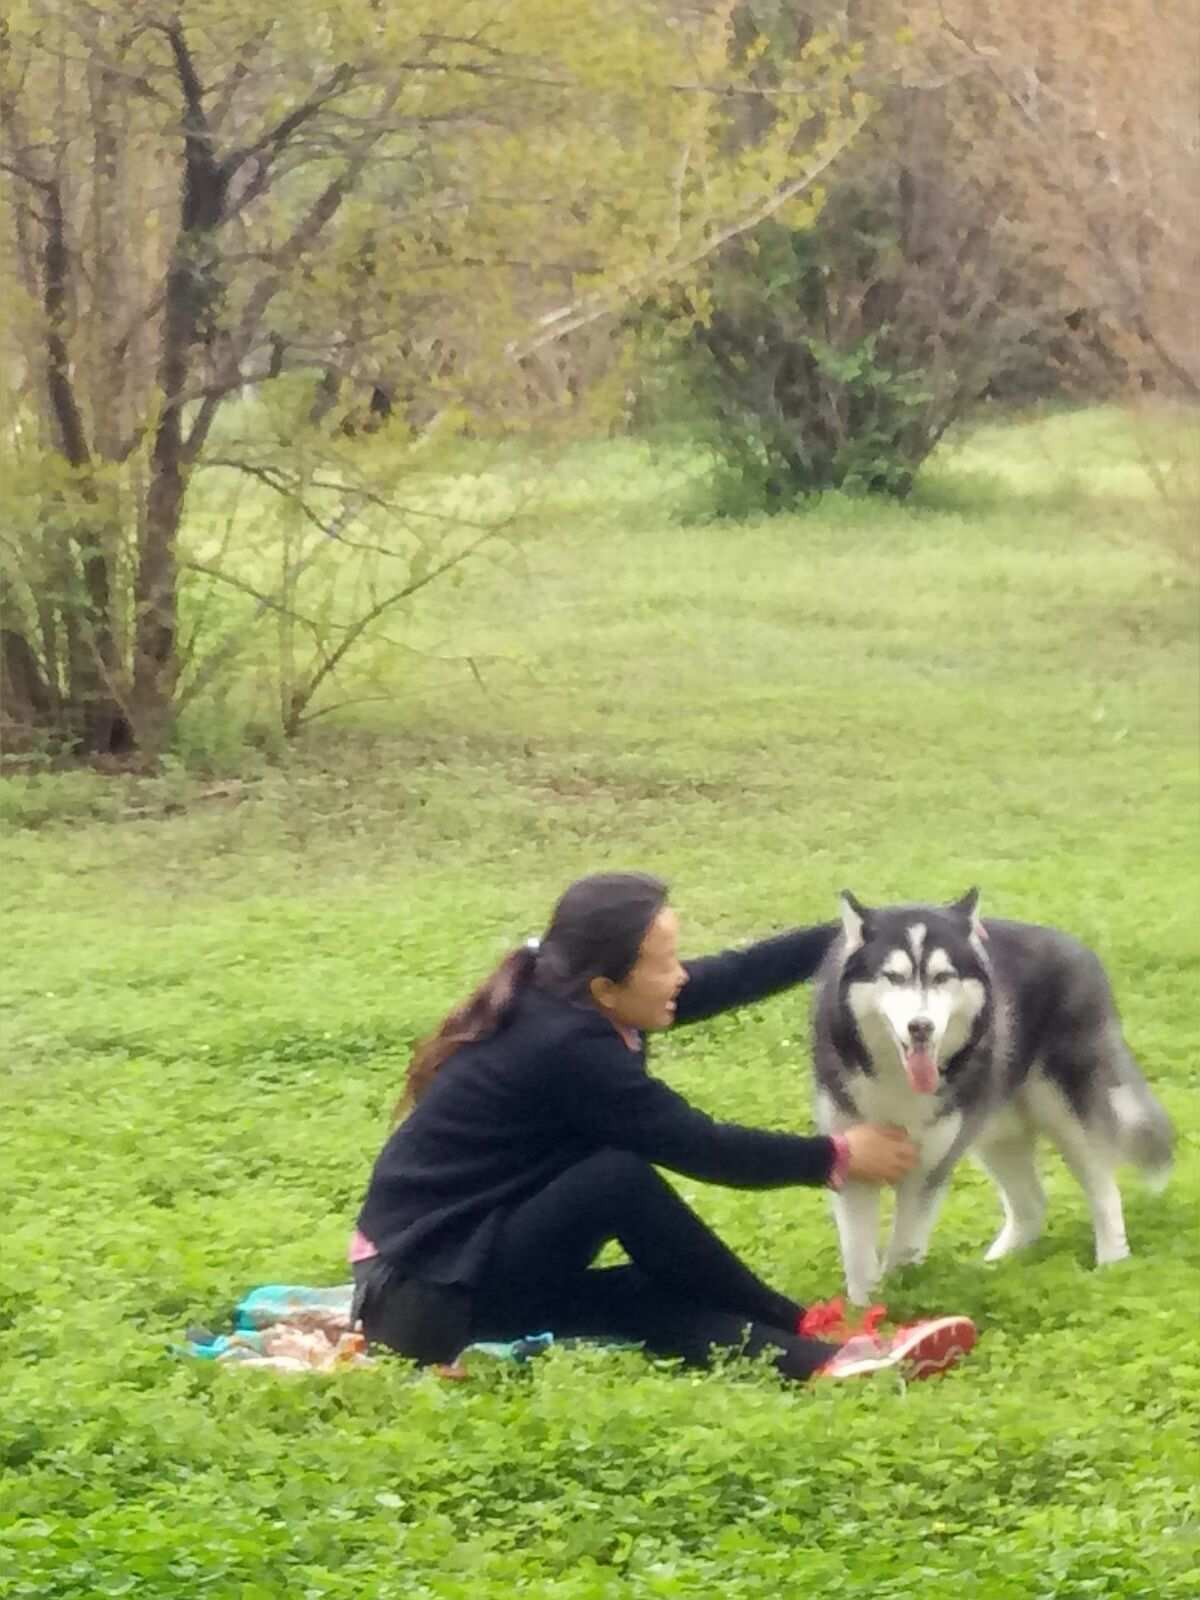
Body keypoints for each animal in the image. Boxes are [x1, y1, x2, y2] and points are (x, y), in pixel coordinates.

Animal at [812, 889, 1177, 1299]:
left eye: (942, 977)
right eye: (893, 977)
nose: (921, 1027)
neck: (899, 1082)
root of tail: (1079, 949)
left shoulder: (929, 1168)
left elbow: (903, 1250)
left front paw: (904, 1301)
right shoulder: (855, 1164)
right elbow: (860, 1262)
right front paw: (864, 1310)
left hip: (1066, 1116)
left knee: (1104, 1188)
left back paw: (1112, 1264)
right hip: (994, 1130)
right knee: (1032, 1204)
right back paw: (994, 1267)